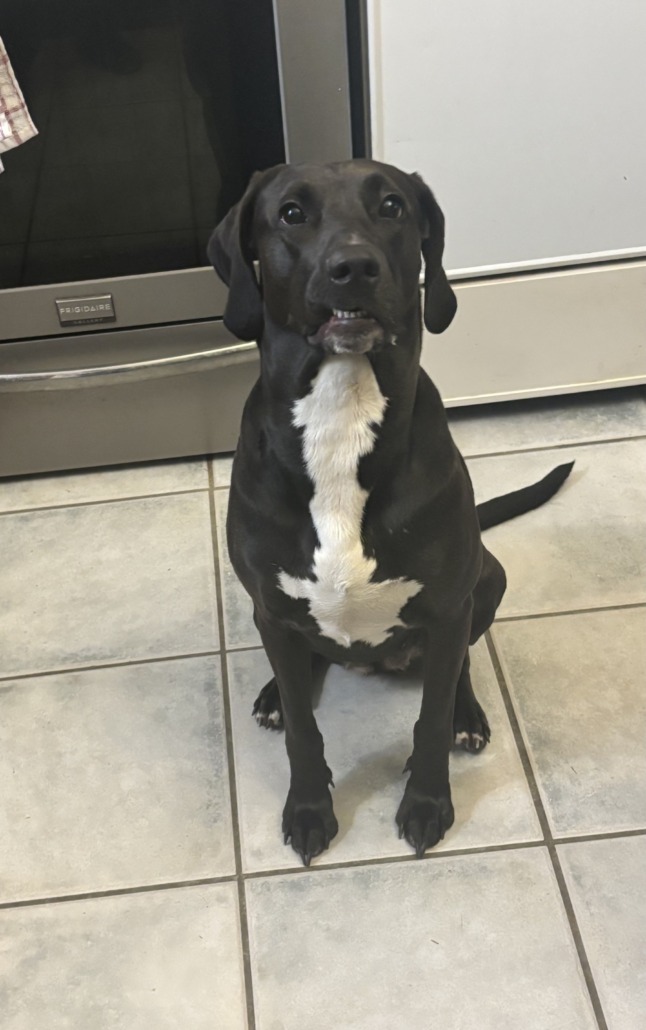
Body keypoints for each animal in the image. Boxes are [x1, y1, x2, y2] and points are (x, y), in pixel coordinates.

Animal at [208, 159, 573, 866]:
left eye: (391, 207)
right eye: (291, 213)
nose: (354, 266)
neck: (340, 416)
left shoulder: (450, 604)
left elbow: (429, 719)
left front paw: (428, 803)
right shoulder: (270, 603)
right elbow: (303, 728)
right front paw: (309, 808)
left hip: (486, 581)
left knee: (458, 666)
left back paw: (467, 715)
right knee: (302, 665)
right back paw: (272, 694)